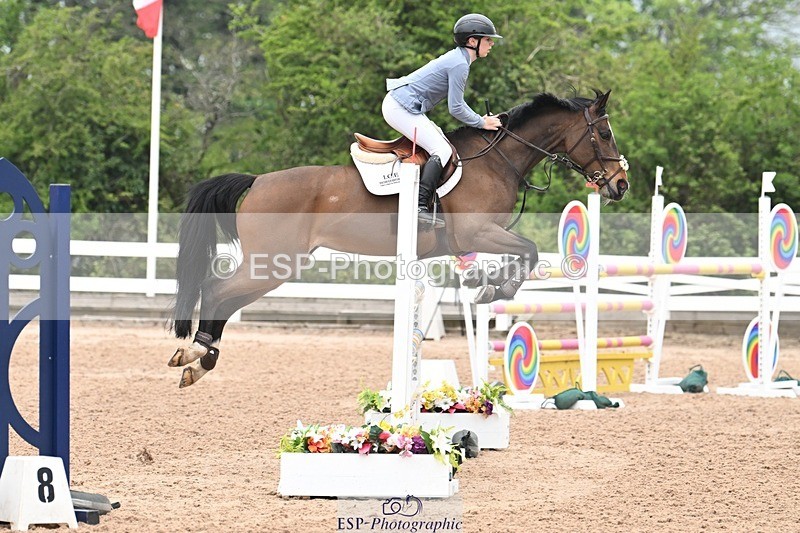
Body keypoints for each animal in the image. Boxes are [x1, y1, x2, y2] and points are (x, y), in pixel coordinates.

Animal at [168, 89, 629, 388]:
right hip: (272, 263)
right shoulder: (477, 231)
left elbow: (523, 255)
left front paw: (488, 285)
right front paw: (495, 288)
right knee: (216, 289)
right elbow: (529, 252)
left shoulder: (477, 239)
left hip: (275, 266)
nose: (620, 185)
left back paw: (199, 361)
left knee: (225, 299)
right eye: (605, 134)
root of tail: (258, 179)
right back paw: (194, 354)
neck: (499, 160)